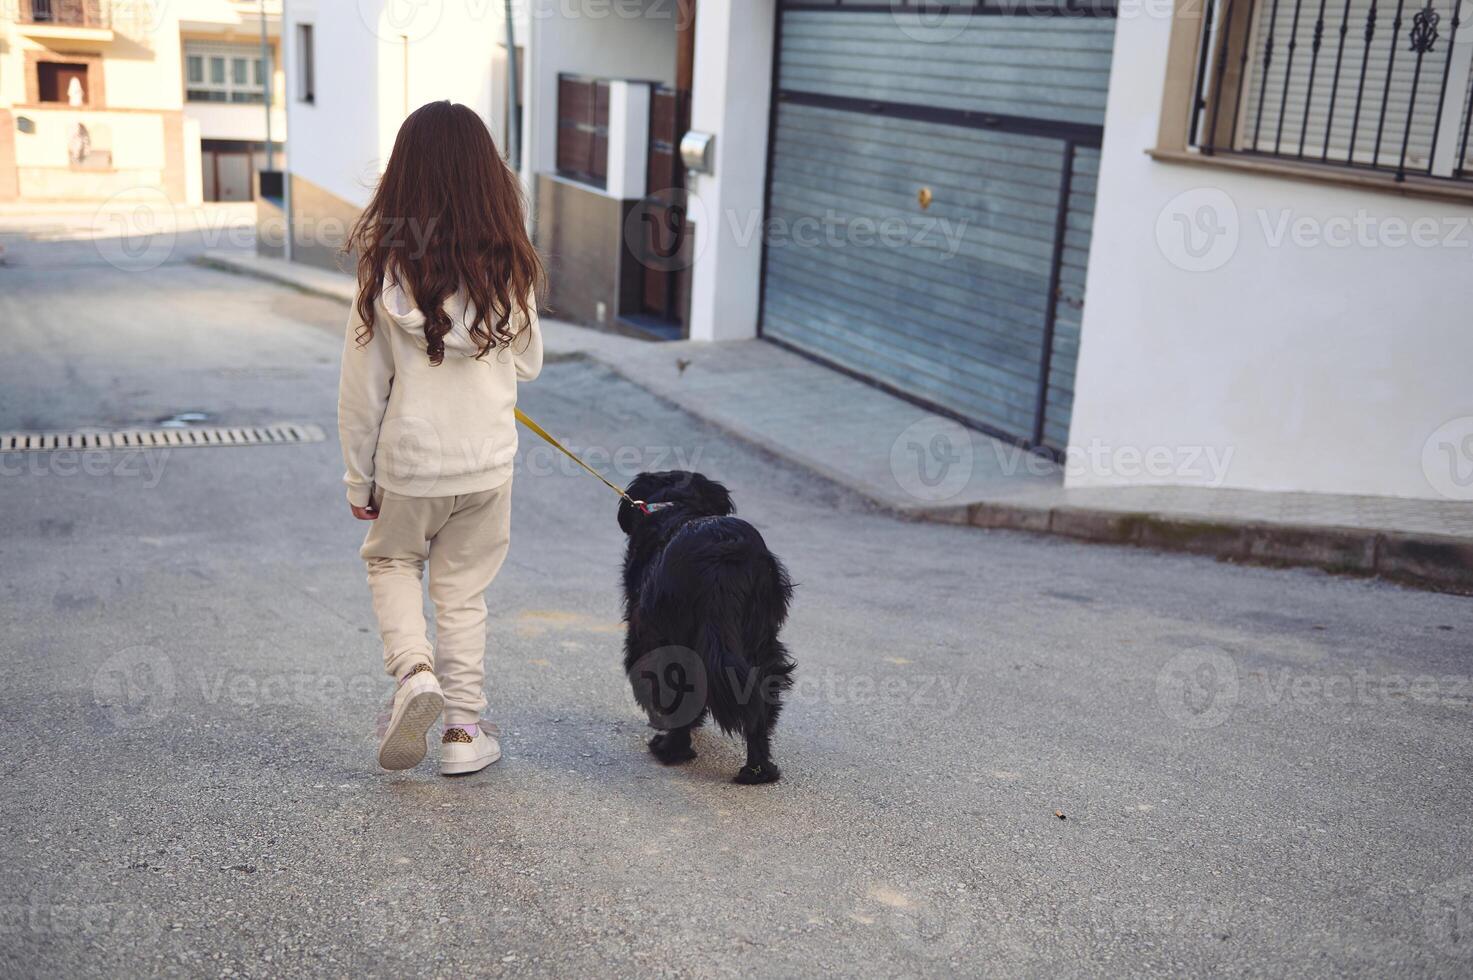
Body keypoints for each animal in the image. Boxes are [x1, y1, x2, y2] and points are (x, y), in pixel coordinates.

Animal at [615, 471, 795, 784]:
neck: (678, 504)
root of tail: (723, 556)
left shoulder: (642, 631)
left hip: (674, 634)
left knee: (681, 688)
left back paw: (670, 750)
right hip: (760, 640)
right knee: (760, 698)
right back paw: (758, 770)